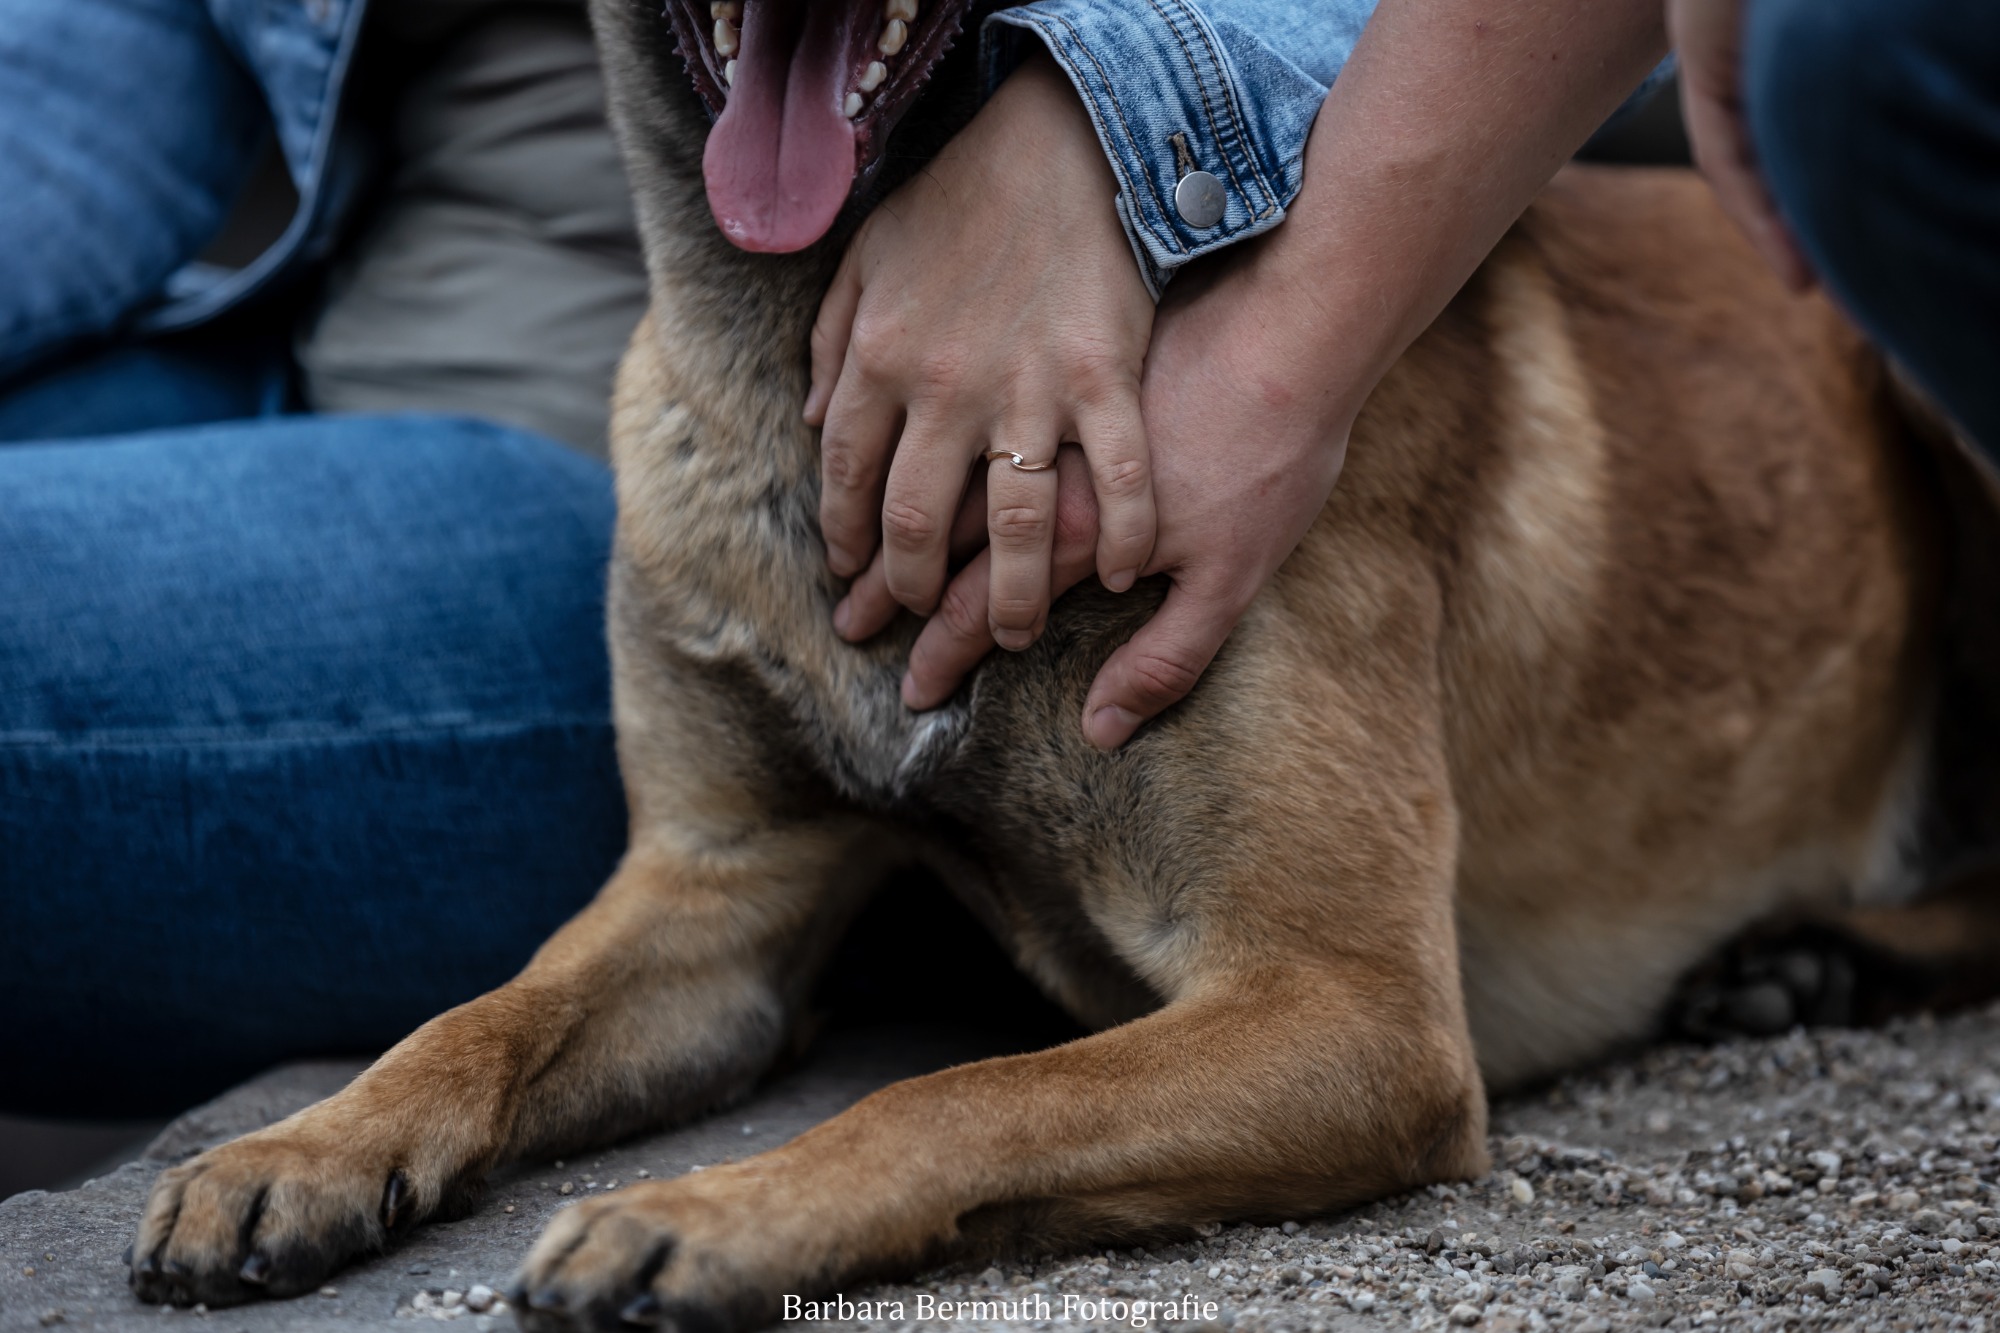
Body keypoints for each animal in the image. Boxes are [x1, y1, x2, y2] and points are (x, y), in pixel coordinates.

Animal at [128, 0, 2000, 1326]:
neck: (827, 391)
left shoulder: (1351, 1008)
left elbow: (959, 1093)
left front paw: (712, 1211)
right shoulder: (714, 899)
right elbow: (481, 1013)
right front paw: (301, 1143)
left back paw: (1823, 951)